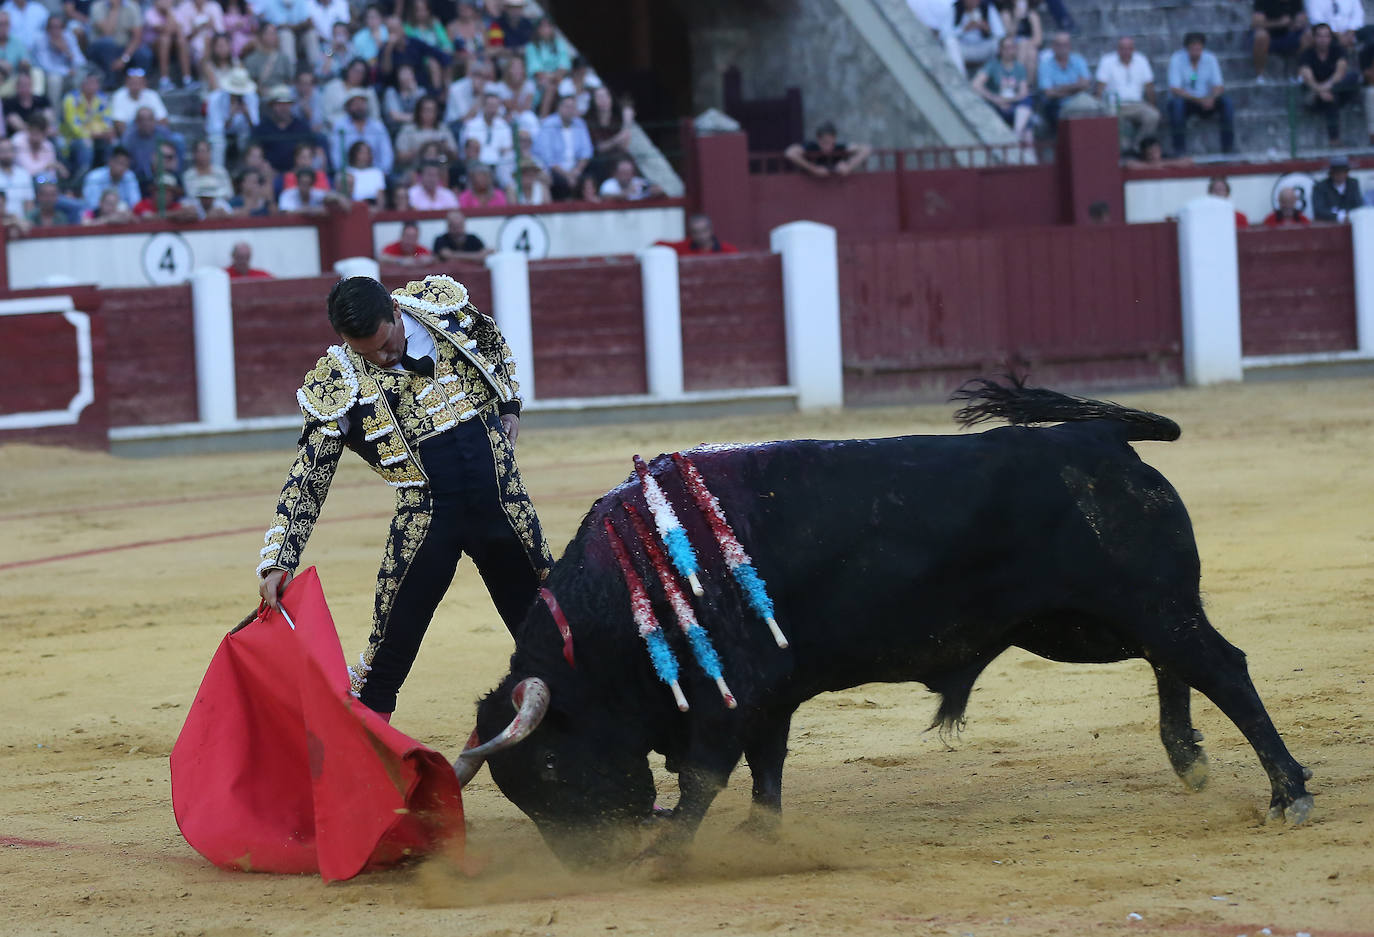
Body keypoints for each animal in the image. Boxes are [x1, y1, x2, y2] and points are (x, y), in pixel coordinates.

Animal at [456, 379, 1313, 862]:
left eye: (552, 767)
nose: (588, 864)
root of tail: (1100, 436)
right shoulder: (770, 692)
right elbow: (768, 763)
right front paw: (762, 834)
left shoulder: (731, 696)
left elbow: (705, 775)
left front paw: (671, 850)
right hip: (1079, 626)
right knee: (1175, 660)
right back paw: (1188, 757)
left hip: (1139, 602)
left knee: (1222, 665)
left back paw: (1286, 793)